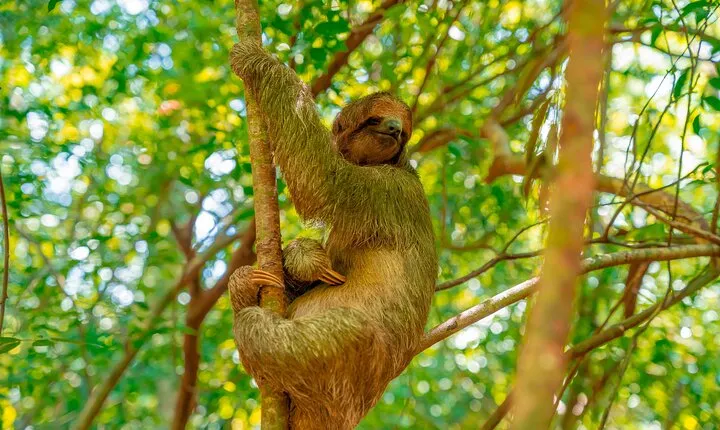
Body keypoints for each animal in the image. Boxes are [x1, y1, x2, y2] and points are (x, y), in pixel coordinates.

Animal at [228, 39, 437, 429]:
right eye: (376, 119)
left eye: (402, 129)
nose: (393, 129)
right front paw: (302, 258)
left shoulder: (381, 191)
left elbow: (322, 180)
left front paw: (262, 62)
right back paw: (245, 283)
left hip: (347, 355)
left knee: (278, 333)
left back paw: (251, 313)